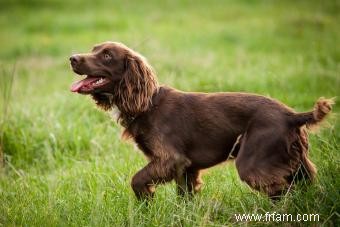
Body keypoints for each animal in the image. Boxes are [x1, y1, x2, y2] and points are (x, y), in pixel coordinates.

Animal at [68, 41, 332, 200]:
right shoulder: (186, 168)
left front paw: (146, 200)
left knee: (284, 193)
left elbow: (137, 179)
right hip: (298, 164)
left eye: (107, 55)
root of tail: (292, 116)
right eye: (94, 49)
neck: (148, 104)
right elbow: (184, 198)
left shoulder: (171, 159)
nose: (72, 58)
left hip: (253, 163)